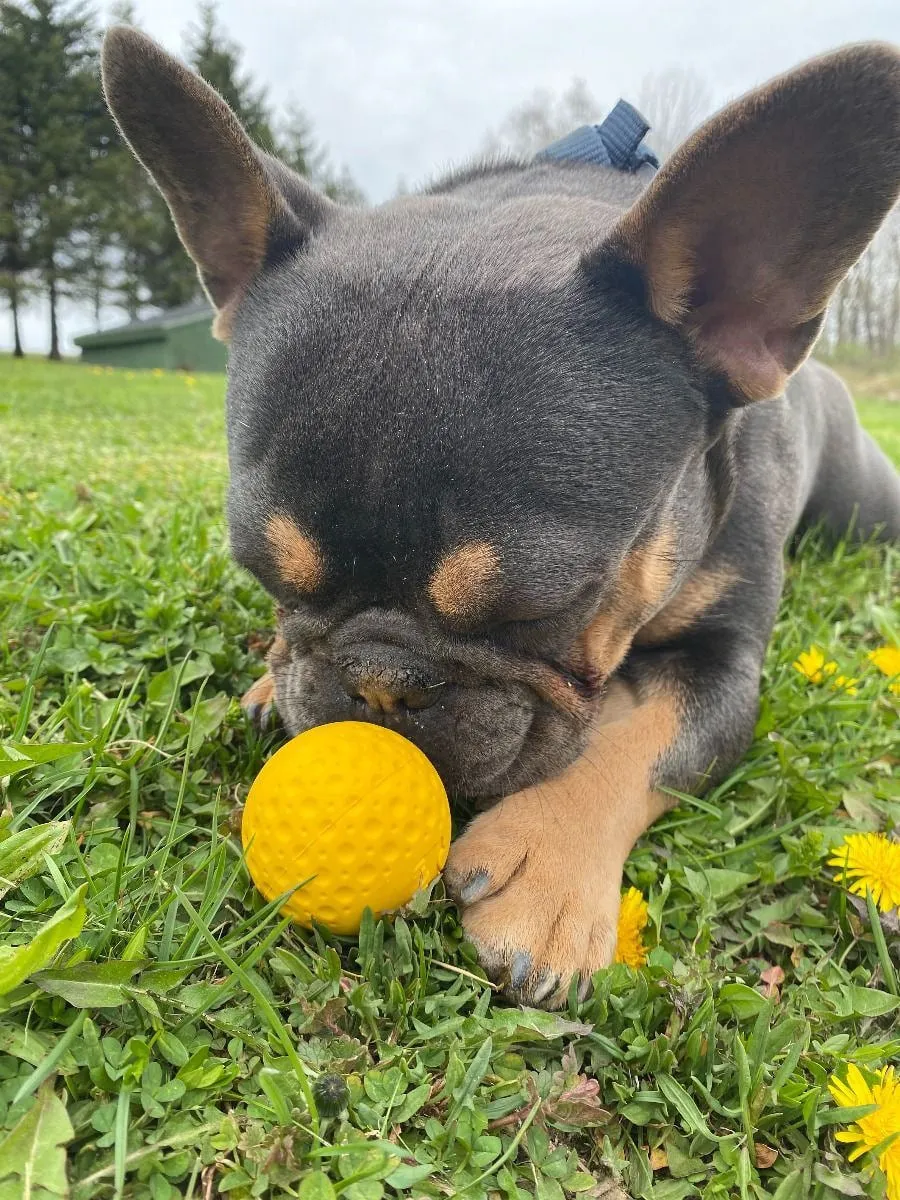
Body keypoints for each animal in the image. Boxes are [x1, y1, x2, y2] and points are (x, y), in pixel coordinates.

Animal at [102, 25, 900, 1003]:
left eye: (544, 607)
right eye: (264, 574)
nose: (378, 677)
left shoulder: (728, 663)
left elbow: (645, 739)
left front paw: (543, 870)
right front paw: (267, 680)